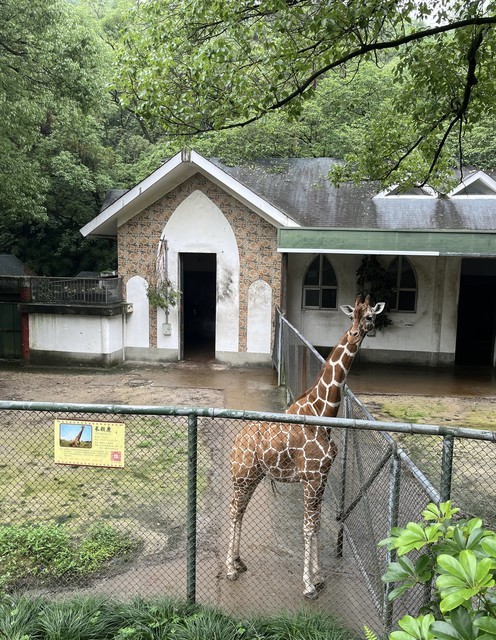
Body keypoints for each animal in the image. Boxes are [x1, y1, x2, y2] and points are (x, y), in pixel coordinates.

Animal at [227, 296, 386, 600]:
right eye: (352, 316)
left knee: (240, 511)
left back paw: (239, 562)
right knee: (233, 510)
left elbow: (318, 525)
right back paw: (230, 569)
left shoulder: (321, 478)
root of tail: (237, 441)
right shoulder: (311, 478)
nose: (356, 333)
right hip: (242, 475)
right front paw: (309, 585)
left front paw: (320, 577)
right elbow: (308, 527)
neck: (323, 414)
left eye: (370, 316)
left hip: (254, 476)